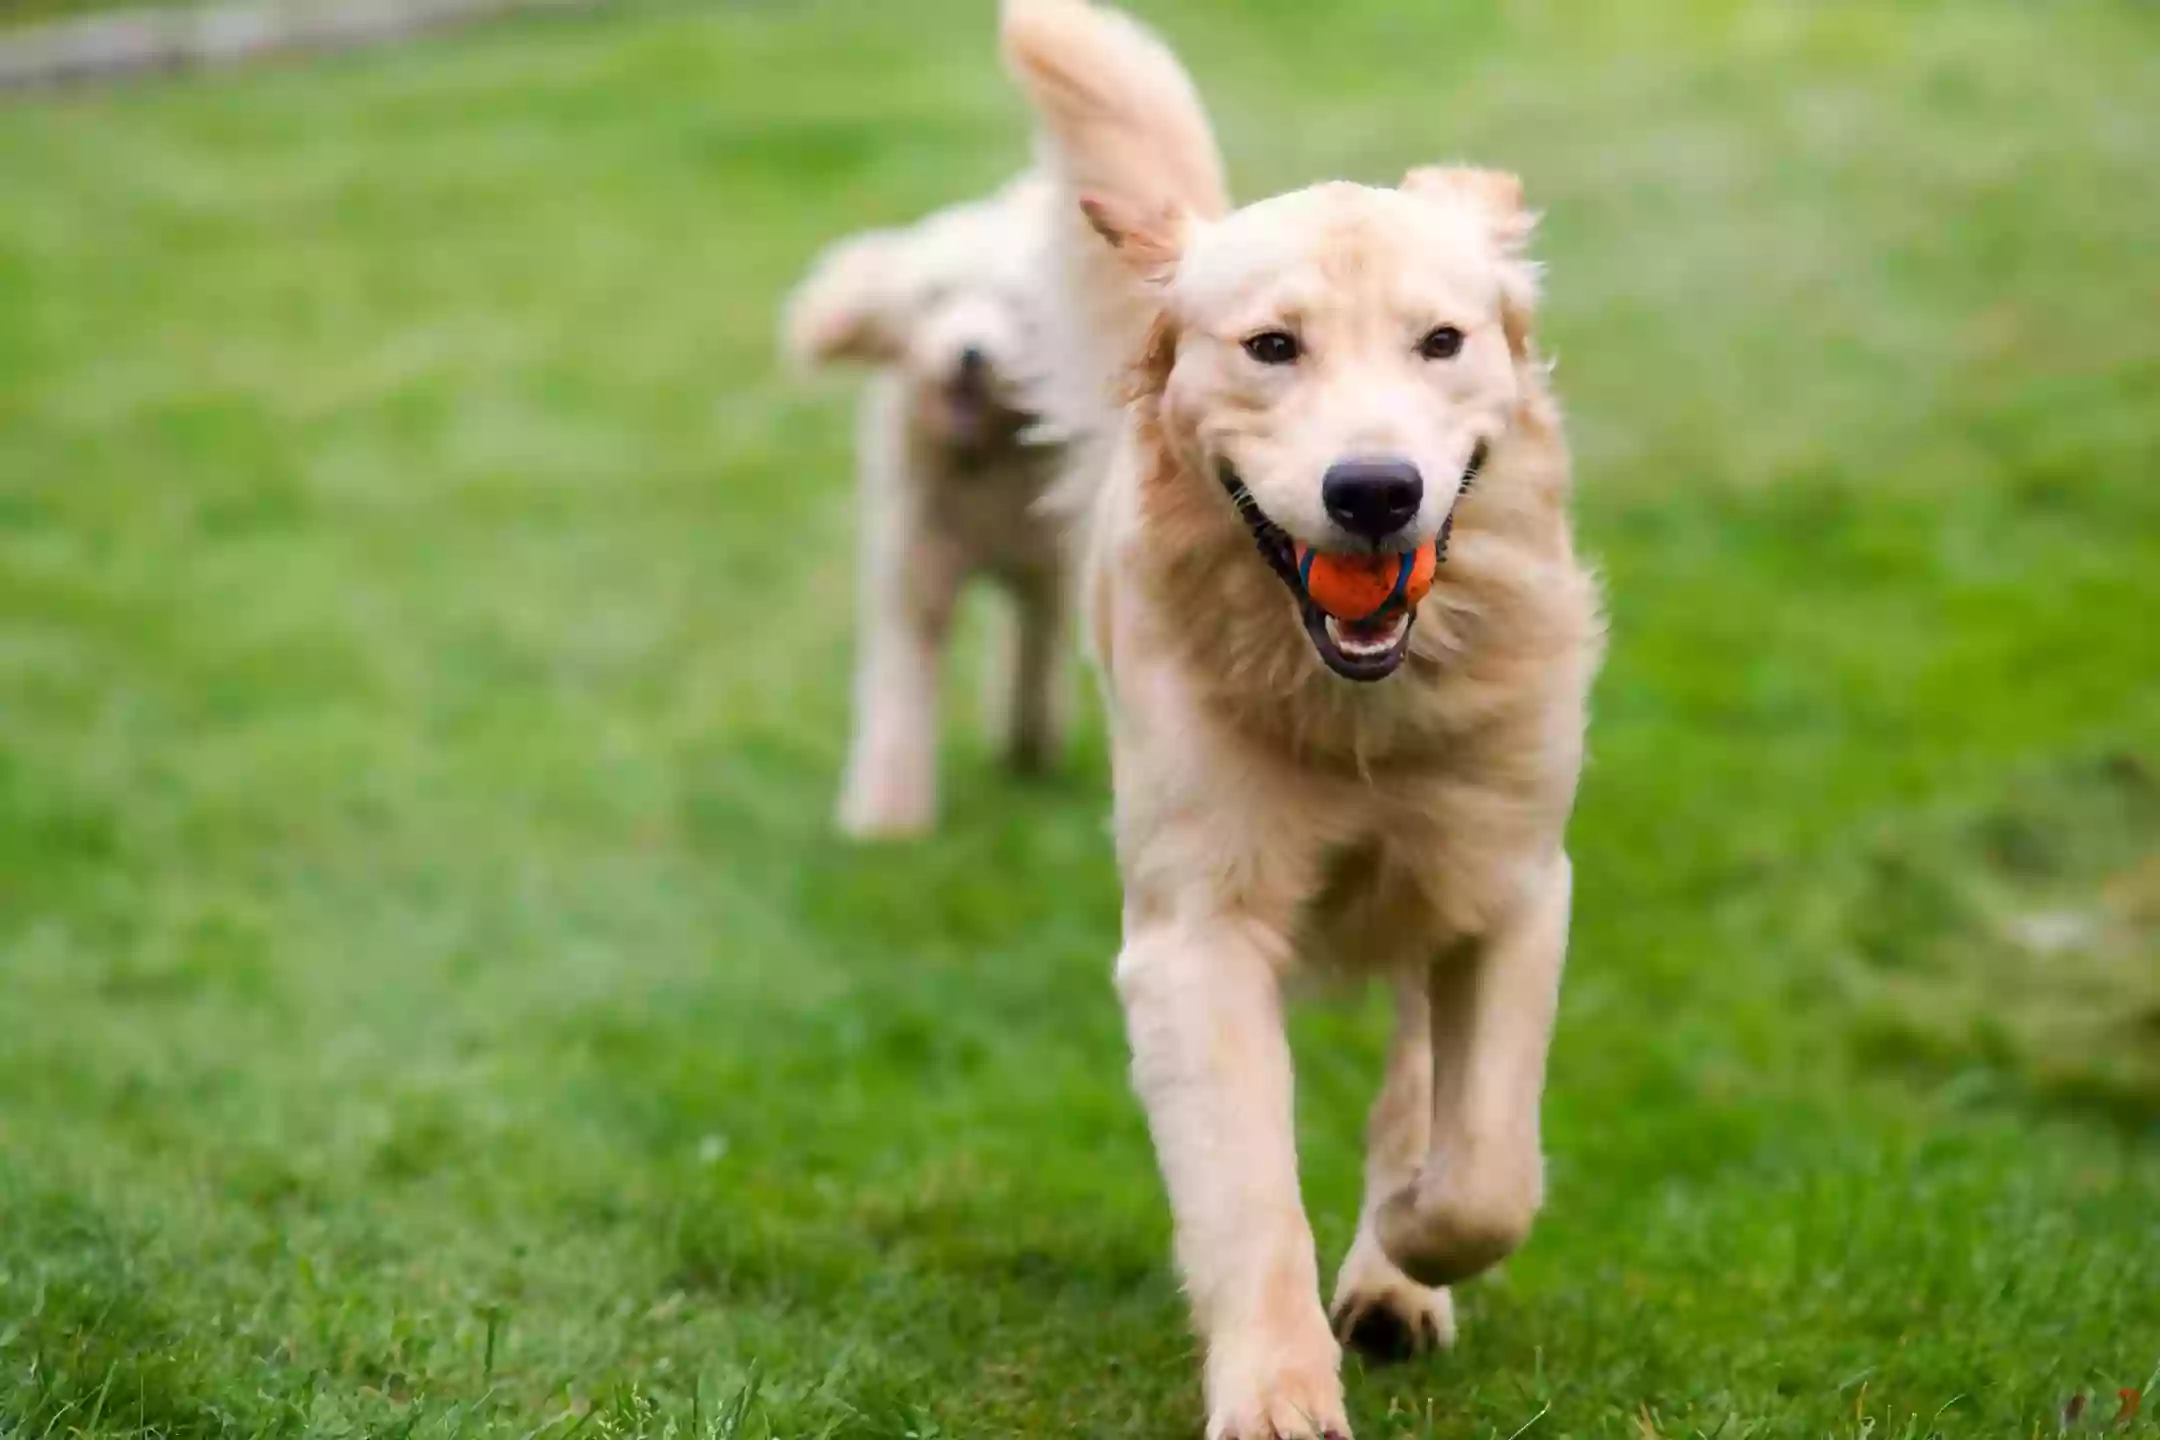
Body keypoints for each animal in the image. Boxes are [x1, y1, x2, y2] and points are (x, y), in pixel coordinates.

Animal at [786, 174, 1071, 837]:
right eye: (935, 298)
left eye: (1013, 307)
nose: (971, 356)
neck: (983, 459)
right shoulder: (912, 573)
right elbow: (899, 688)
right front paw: (887, 821)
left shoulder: (1047, 570)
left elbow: (1036, 654)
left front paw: (1028, 745)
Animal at [997, 5, 1607, 1433]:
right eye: (1272, 348)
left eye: (1442, 342)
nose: (1375, 492)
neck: (1361, 713)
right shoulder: (1193, 935)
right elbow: (1249, 1199)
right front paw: (1276, 1388)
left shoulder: (1513, 881)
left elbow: (1487, 1168)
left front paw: (1414, 1240)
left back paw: (1393, 1272)